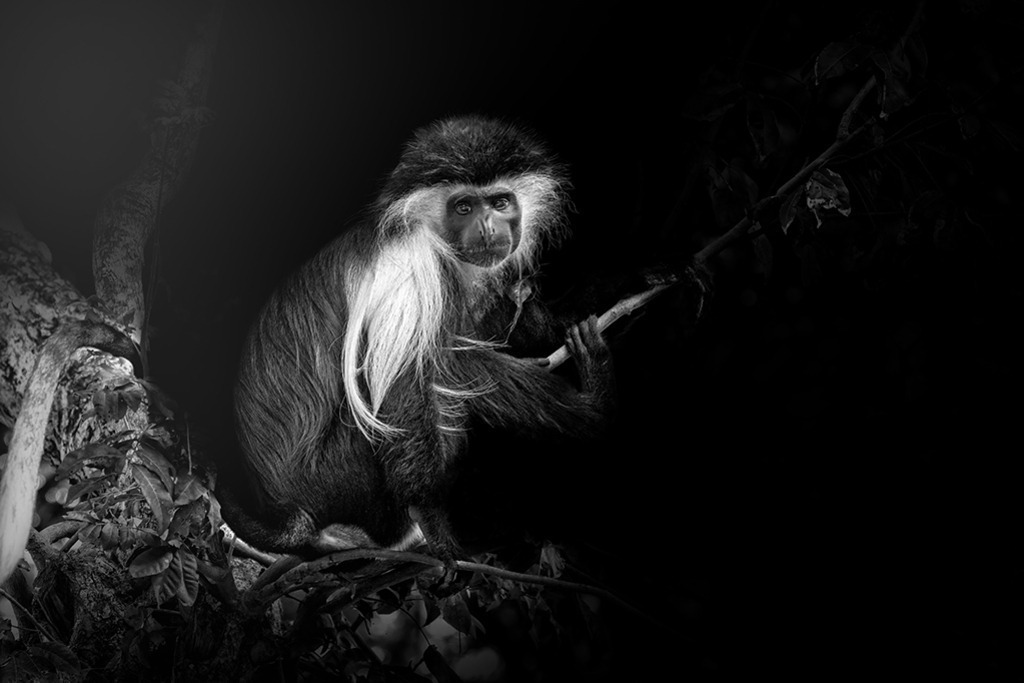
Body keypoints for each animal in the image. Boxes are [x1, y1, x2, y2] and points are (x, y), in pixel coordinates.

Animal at [216, 116, 623, 561]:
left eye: (500, 203)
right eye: (464, 207)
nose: (488, 227)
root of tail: (288, 507)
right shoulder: (415, 268)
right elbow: (406, 393)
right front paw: (436, 528)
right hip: (338, 473)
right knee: (439, 370)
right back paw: (594, 404)